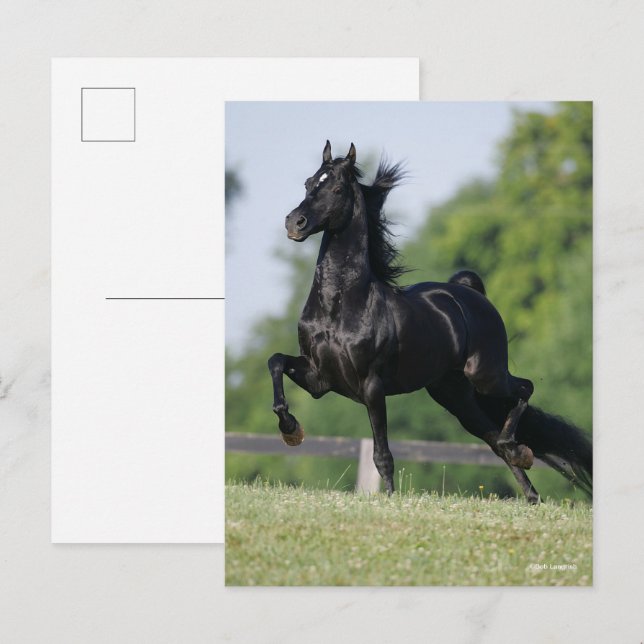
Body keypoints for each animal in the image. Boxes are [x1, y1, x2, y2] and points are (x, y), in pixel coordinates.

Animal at [268, 141, 592, 502]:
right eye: (309, 183)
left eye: (336, 188)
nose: (294, 223)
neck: (339, 305)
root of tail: (471, 294)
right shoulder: (319, 379)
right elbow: (276, 362)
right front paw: (291, 430)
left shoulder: (371, 385)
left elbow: (382, 454)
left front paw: (390, 499)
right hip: (455, 396)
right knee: (494, 440)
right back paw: (530, 490)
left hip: (485, 375)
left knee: (525, 390)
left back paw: (519, 452)